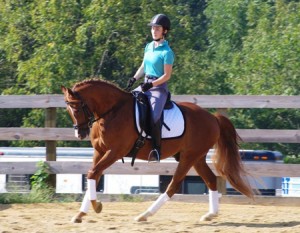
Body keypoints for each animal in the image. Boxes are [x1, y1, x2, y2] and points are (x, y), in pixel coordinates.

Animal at [60, 78, 253, 224]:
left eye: (76, 108)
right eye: (68, 109)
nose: (80, 133)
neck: (112, 111)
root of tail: (212, 117)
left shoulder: (114, 152)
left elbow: (93, 174)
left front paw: (96, 206)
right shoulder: (99, 152)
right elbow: (93, 175)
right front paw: (80, 214)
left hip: (189, 157)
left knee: (173, 185)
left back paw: (145, 215)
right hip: (196, 158)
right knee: (211, 179)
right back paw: (210, 214)